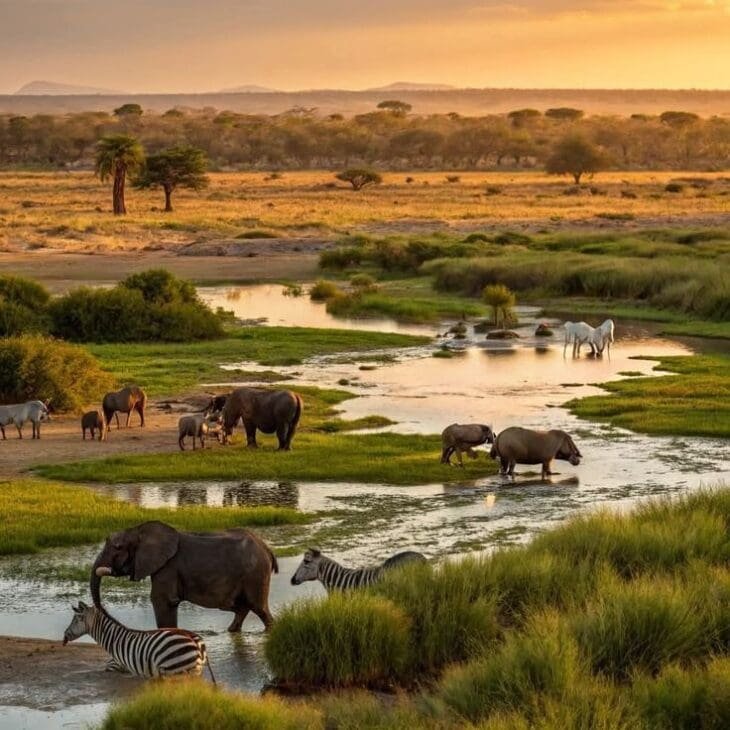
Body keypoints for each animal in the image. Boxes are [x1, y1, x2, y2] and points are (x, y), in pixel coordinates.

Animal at [62, 601, 215, 682]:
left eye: (76, 620)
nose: (64, 637)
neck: (114, 639)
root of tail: (196, 642)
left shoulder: (117, 664)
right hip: (193, 671)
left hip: (175, 669)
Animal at [90, 521, 278, 631]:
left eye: (118, 547)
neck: (139, 530)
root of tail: (266, 548)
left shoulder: (168, 567)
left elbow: (162, 600)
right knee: (239, 606)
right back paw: (232, 631)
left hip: (255, 573)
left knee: (258, 607)